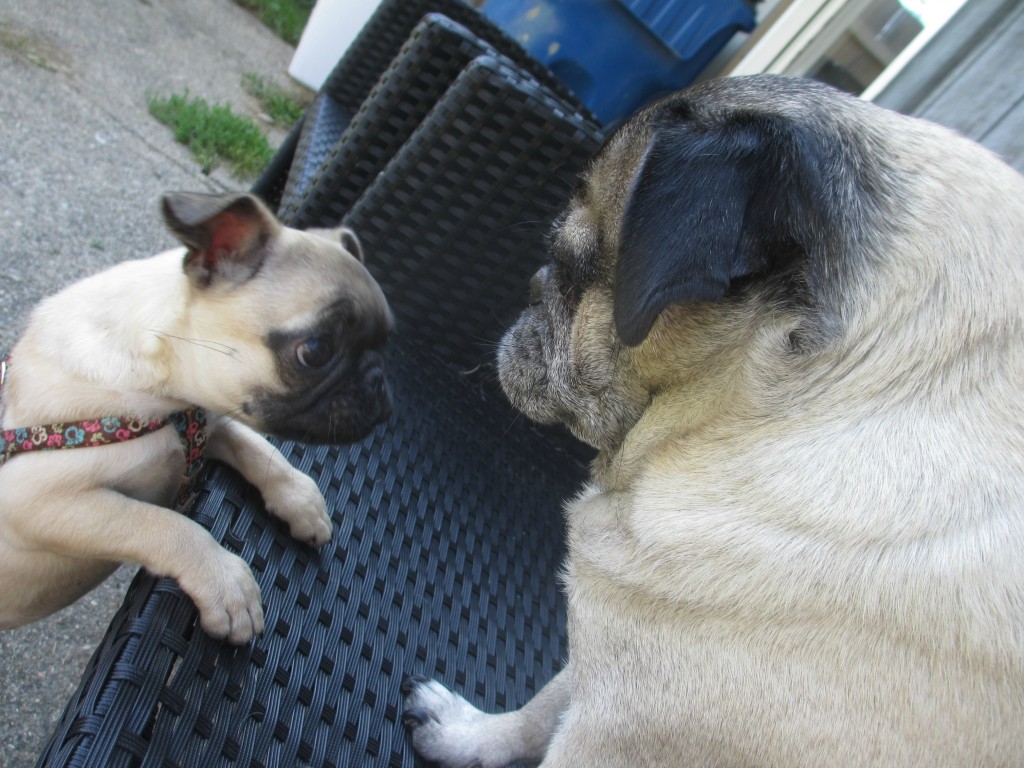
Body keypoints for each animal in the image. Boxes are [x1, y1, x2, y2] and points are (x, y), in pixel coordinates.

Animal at [0, 191, 393, 643]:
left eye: (386, 341)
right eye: (314, 351)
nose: (377, 379)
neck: (164, 397)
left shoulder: (213, 419)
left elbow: (259, 450)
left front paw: (301, 499)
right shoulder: (38, 501)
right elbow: (161, 524)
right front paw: (226, 581)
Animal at [401, 75, 1024, 765]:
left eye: (571, 266)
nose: (534, 284)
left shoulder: (618, 732)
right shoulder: (610, 659)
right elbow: (542, 704)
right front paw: (472, 734)